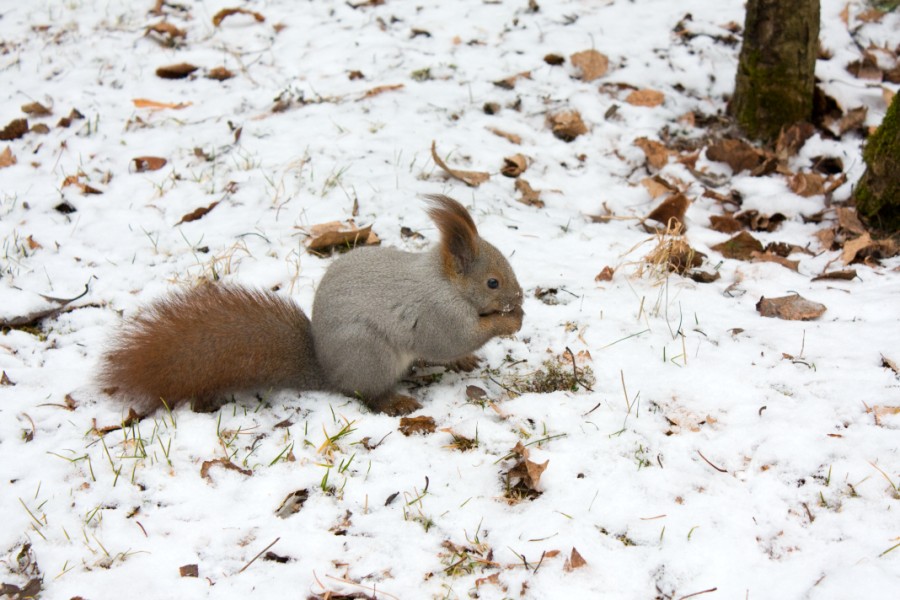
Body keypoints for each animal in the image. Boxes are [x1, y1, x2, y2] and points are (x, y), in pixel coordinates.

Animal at [99, 195, 524, 414]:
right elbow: (453, 339)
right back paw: (395, 401)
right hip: (370, 354)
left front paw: (470, 357)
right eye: (493, 282)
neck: (445, 283)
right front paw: (506, 323)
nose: (519, 299)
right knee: (368, 395)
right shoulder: (439, 313)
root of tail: (328, 372)